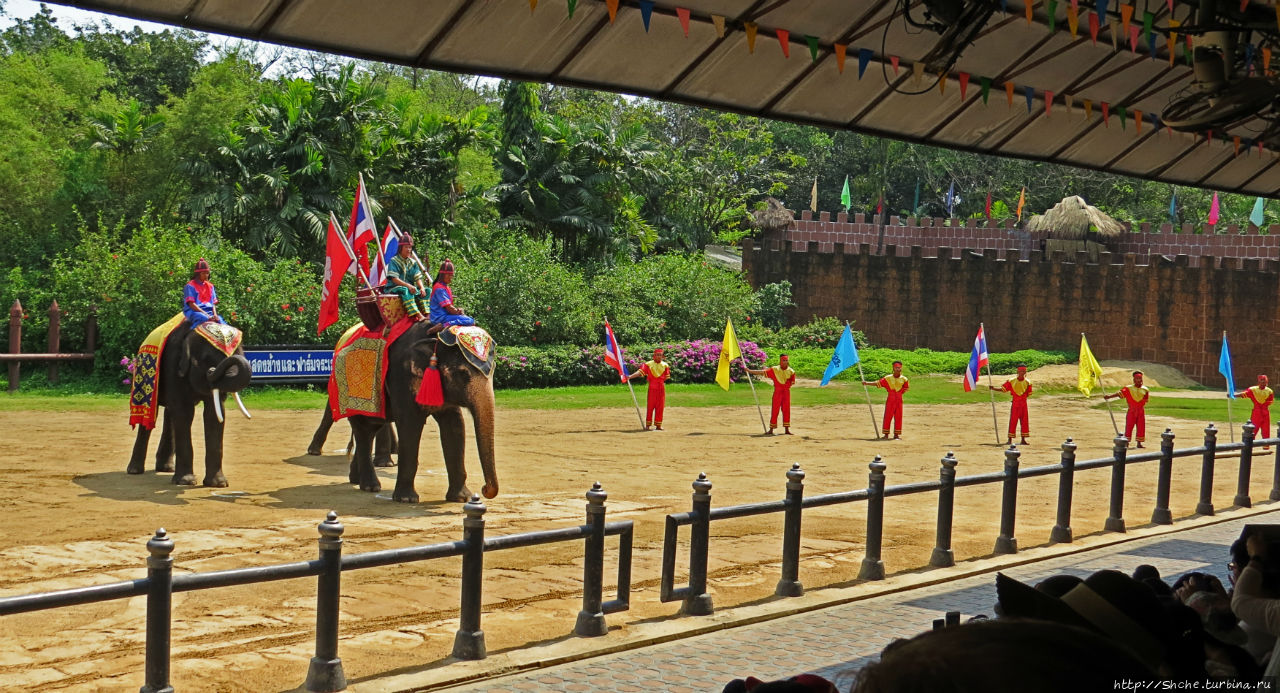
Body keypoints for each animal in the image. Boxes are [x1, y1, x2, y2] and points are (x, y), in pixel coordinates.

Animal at [126, 321, 253, 484]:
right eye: (207, 358)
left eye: (239, 354)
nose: (212, 370)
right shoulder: (173, 365)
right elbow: (184, 413)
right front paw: (186, 481)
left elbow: (214, 414)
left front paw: (218, 484)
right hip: (144, 378)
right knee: (149, 415)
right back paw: (134, 471)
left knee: (170, 413)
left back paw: (166, 468)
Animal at [343, 321, 496, 499]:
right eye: (463, 374)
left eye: (493, 370)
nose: (484, 489)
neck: (434, 337)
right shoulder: (401, 376)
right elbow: (410, 424)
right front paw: (406, 499)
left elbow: (455, 426)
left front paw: (461, 497)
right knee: (363, 430)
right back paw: (371, 487)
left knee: (371, 429)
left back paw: (357, 480)